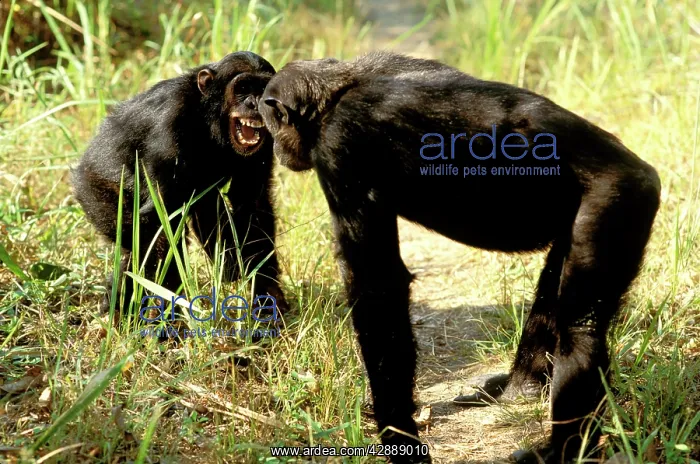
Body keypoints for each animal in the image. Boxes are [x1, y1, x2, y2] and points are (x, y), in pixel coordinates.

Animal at [72, 51, 287, 322]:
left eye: (262, 89)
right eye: (243, 88)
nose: (255, 103)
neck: (210, 116)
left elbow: (252, 204)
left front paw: (268, 298)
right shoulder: (170, 124)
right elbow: (163, 221)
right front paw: (171, 309)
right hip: (95, 191)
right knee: (134, 239)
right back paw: (119, 309)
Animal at [258, 51, 661, 463]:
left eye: (269, 121)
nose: (274, 149)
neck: (337, 91)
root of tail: (644, 170)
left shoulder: (343, 146)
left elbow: (377, 285)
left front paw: (400, 439)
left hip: (616, 197)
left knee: (579, 331)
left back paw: (561, 450)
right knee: (553, 289)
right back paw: (519, 389)